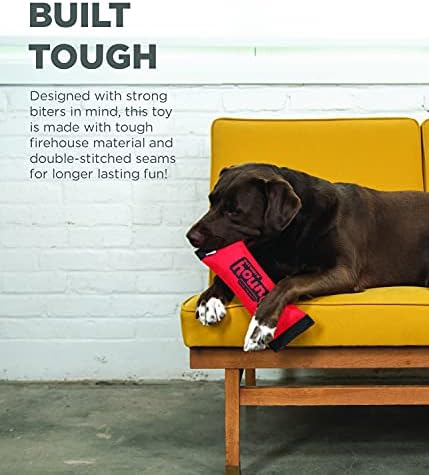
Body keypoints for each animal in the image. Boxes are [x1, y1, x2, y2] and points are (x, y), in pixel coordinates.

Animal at [186, 163, 429, 351]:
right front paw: (210, 300)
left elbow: (287, 283)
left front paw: (260, 326)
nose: (190, 236)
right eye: (211, 200)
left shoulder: (342, 271)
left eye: (234, 211)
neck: (295, 230)